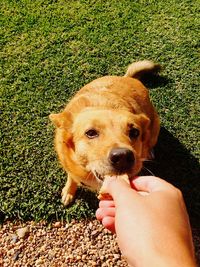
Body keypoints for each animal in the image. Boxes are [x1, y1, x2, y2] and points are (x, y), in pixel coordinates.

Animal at [50, 60, 161, 206]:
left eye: (134, 132)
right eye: (91, 133)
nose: (123, 157)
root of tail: (128, 78)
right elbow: (71, 178)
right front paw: (69, 191)